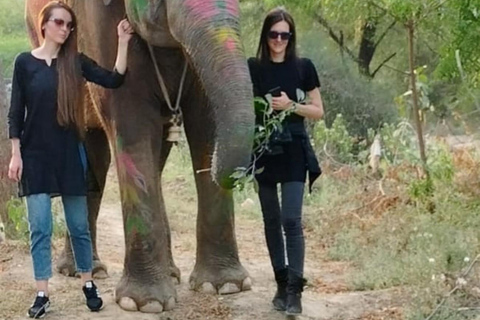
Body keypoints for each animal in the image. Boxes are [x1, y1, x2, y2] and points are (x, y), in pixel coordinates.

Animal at [25, 0, 255, 312]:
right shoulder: (100, 23)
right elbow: (131, 126)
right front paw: (146, 303)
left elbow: (207, 124)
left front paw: (225, 286)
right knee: (95, 157)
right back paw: (85, 271)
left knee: (146, 159)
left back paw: (169, 272)